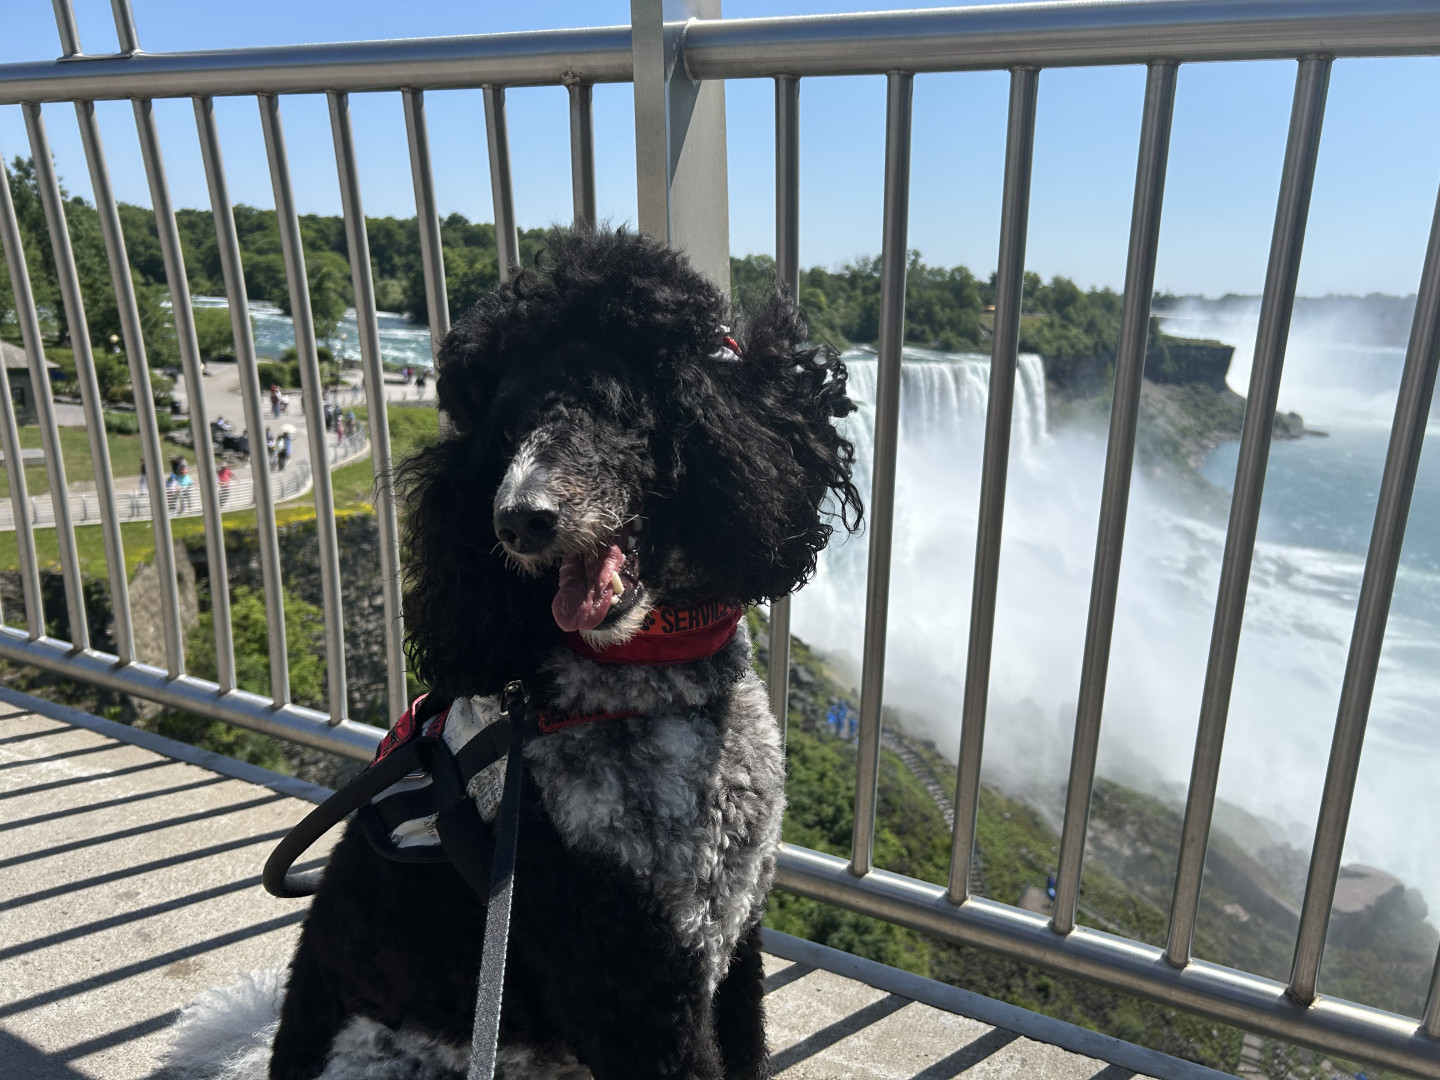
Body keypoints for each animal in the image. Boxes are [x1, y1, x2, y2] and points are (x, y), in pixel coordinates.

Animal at [167, 228, 862, 1080]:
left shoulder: (734, 950)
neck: (647, 686)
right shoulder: (634, 985)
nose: (518, 519)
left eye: (611, 405)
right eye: (502, 433)